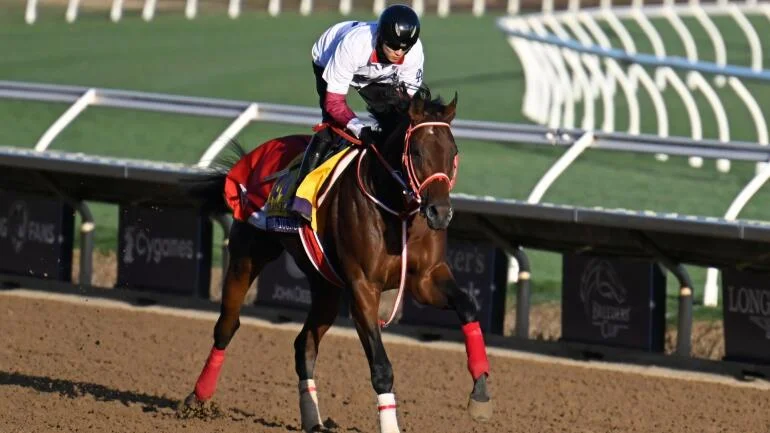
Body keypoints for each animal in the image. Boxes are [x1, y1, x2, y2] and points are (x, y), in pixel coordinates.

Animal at [180, 86, 493, 433]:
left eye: (453, 152)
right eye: (416, 153)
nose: (440, 213)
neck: (397, 211)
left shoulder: (425, 278)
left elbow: (467, 305)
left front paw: (480, 393)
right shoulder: (362, 287)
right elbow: (381, 366)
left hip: (325, 285)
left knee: (304, 344)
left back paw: (313, 420)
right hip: (247, 255)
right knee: (227, 326)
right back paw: (197, 397)